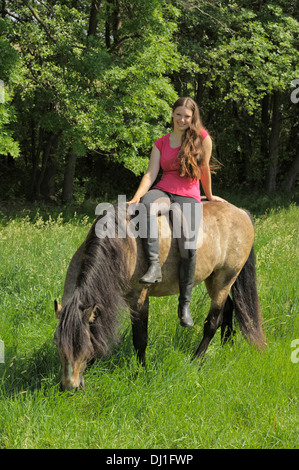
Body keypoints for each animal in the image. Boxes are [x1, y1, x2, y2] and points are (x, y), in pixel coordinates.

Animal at [52, 200, 266, 392]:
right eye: (57, 344)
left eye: (84, 347)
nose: (69, 388)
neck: (122, 246)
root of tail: (241, 212)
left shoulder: (139, 299)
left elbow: (140, 338)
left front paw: (140, 372)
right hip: (213, 279)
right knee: (228, 309)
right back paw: (227, 345)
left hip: (225, 278)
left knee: (212, 322)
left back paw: (196, 360)